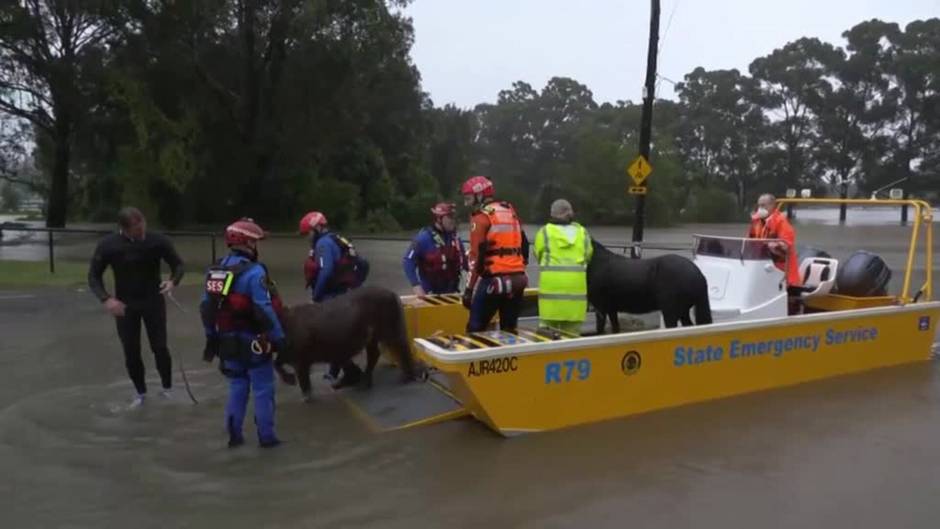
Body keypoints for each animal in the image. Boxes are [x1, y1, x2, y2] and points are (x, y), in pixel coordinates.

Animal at [274, 286, 416, 398]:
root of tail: (392, 293)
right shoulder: (292, 355)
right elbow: (278, 363)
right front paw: (293, 382)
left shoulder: (299, 359)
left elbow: (300, 376)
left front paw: (304, 392)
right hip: (373, 336)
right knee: (374, 354)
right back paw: (365, 382)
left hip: (389, 330)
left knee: (401, 347)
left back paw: (406, 377)